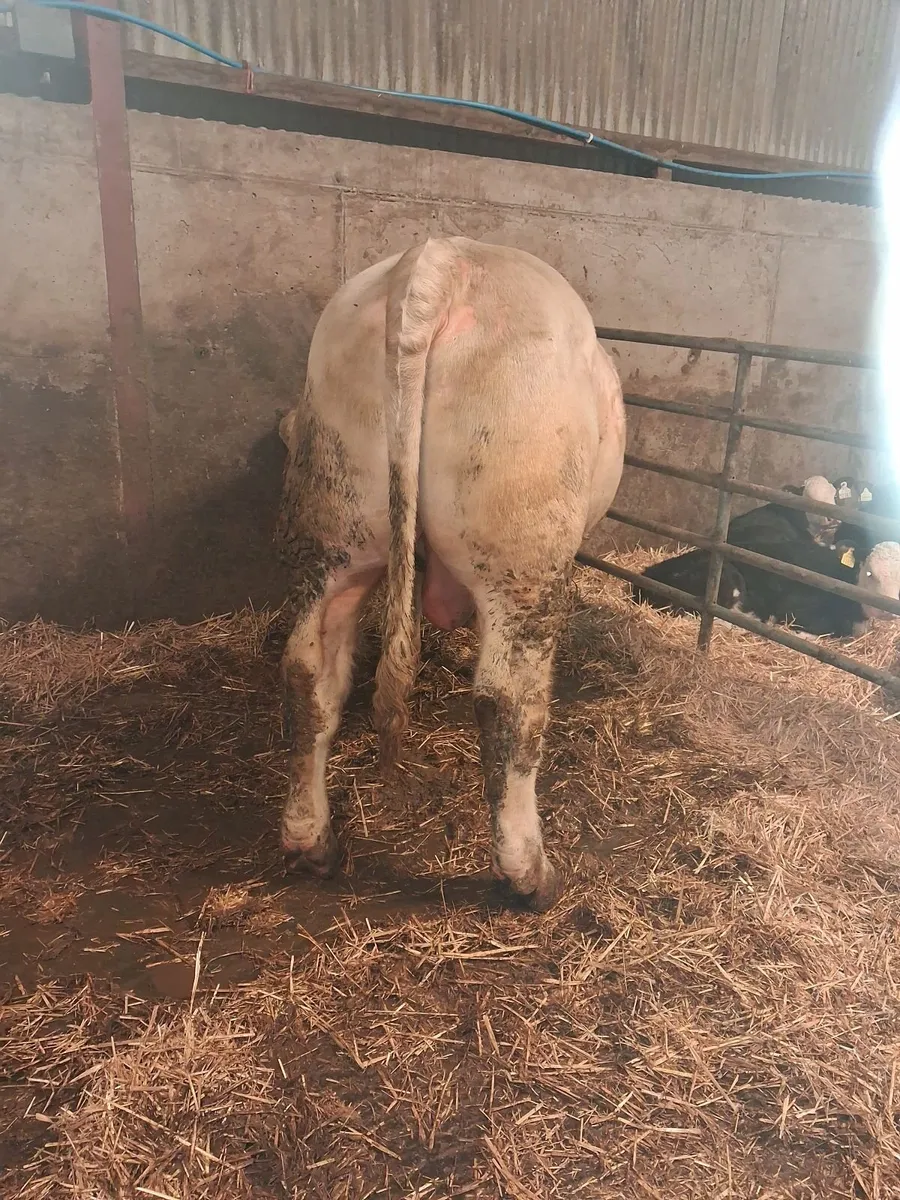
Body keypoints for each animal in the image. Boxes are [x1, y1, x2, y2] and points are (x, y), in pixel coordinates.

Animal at [275, 237, 626, 912]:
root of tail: (439, 262)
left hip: (336, 519)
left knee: (309, 665)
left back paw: (312, 841)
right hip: (524, 548)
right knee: (507, 699)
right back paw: (530, 876)